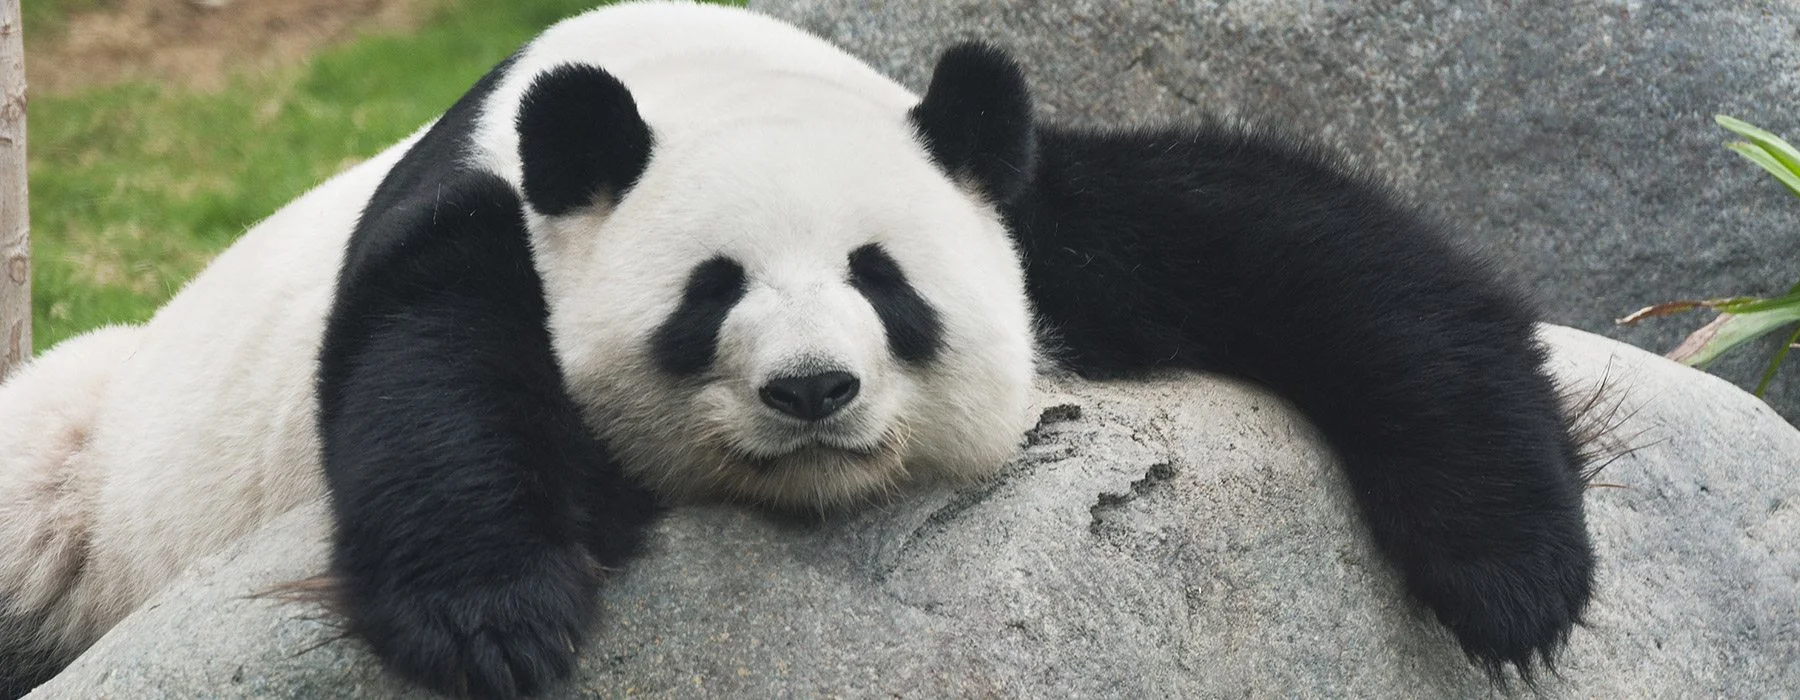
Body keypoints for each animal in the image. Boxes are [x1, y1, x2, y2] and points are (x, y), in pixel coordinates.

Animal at [0, 2, 1595, 698]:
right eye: (710, 296)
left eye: (884, 283)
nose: (814, 391)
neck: (694, 78)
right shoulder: (483, 206)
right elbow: (426, 362)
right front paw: (498, 612)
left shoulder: (1015, 193)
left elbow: (1305, 247)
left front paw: (1517, 574)